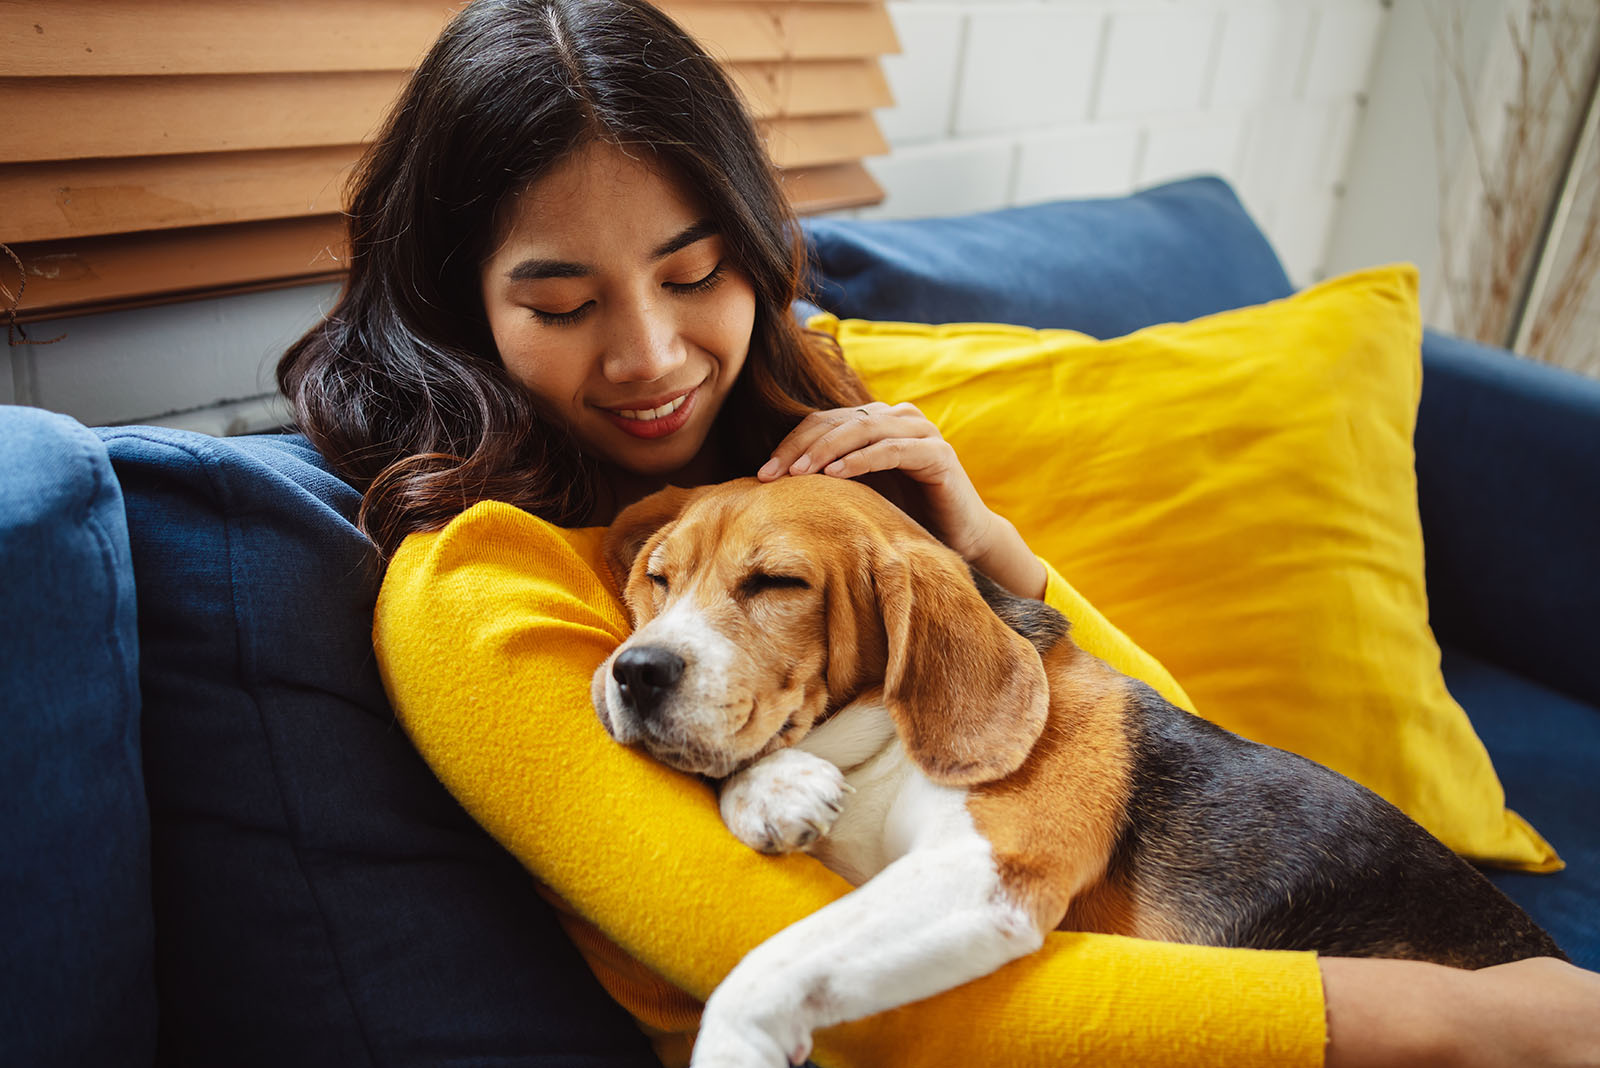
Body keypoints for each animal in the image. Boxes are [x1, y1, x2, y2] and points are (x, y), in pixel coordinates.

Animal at [592, 476, 1561, 1068]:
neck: (883, 744)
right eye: (659, 577)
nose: (635, 672)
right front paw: (773, 788)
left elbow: (766, 966)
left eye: (777, 584)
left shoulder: (988, 871)